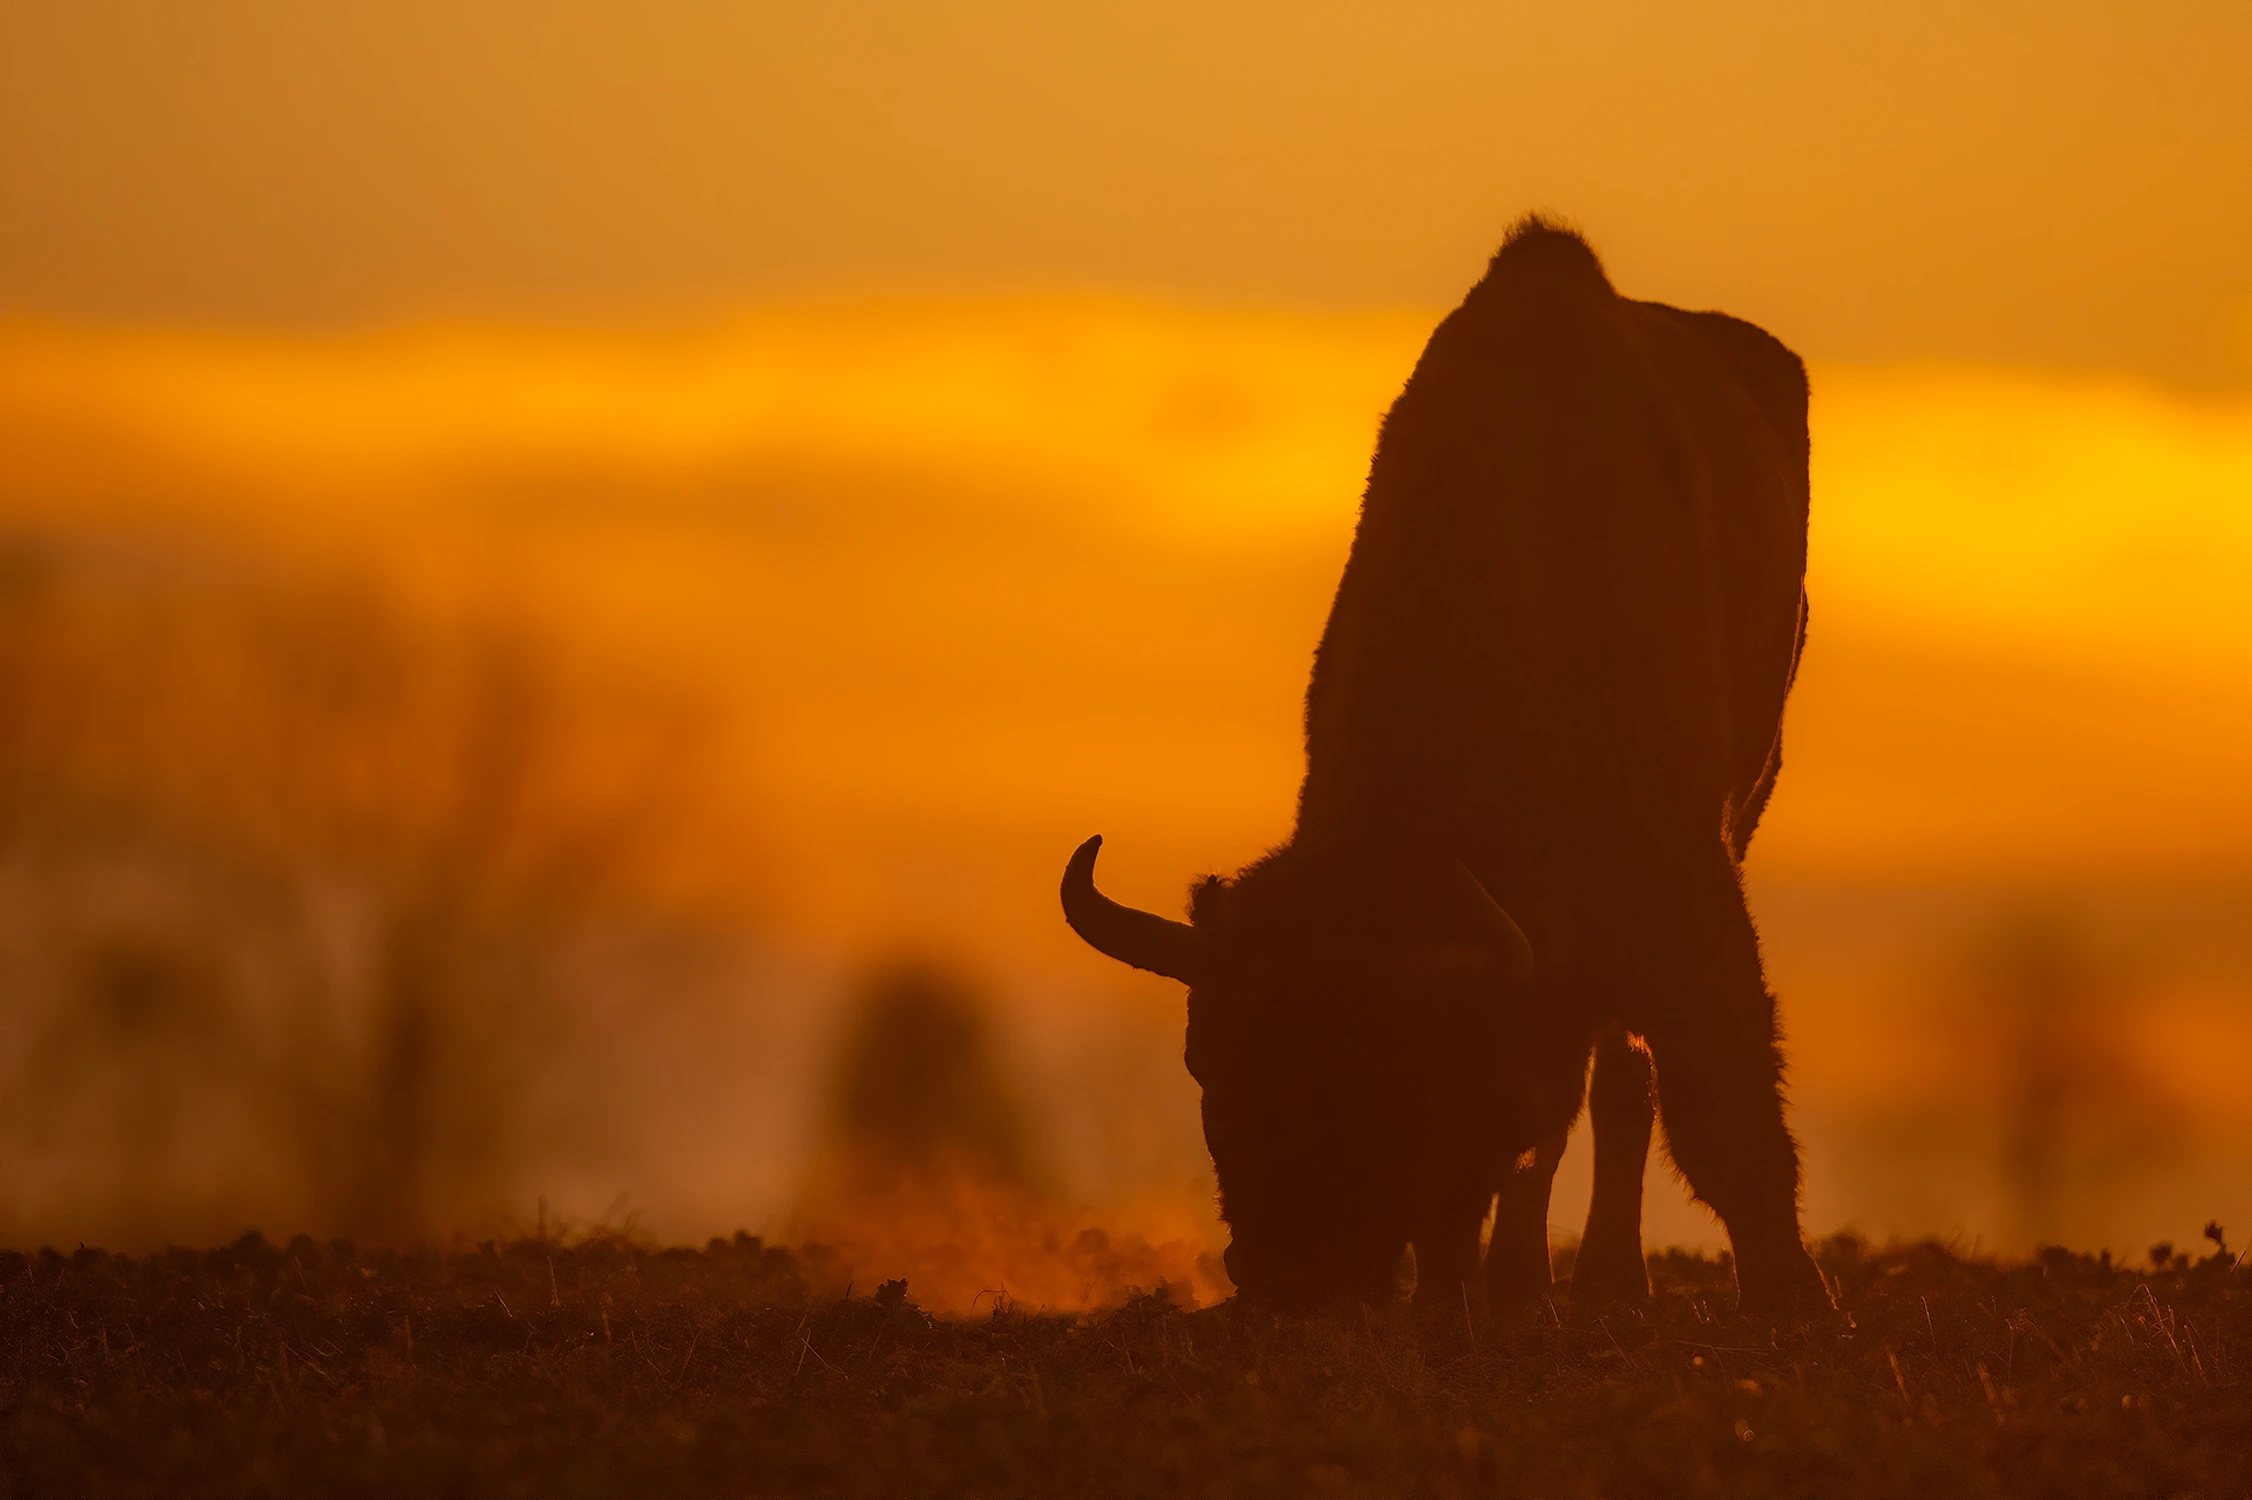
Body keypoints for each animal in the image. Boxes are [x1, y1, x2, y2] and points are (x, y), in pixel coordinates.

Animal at [1067, 216, 1828, 1315]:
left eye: (1382, 1070)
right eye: (1204, 1063)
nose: (1289, 1276)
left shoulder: (1685, 890)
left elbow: (1718, 1116)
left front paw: (1800, 1304)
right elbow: (1522, 1135)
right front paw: (1466, 1292)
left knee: (1617, 1086)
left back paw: (1608, 1282)